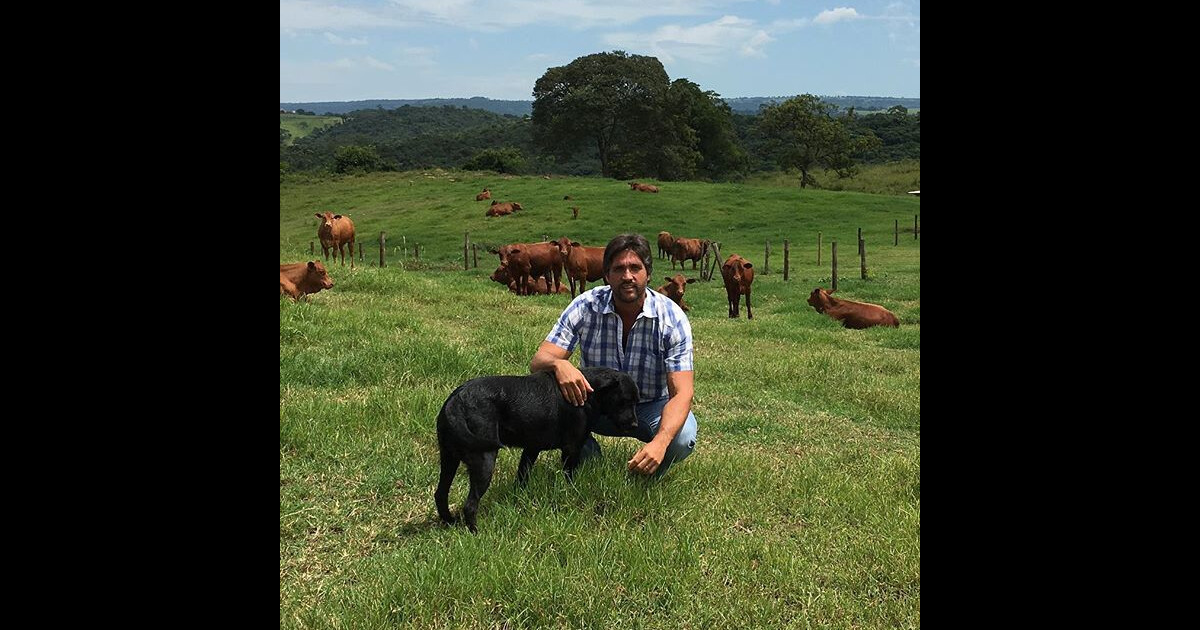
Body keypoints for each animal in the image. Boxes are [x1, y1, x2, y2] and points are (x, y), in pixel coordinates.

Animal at [432, 364, 638, 532]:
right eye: (625, 401)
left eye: (636, 402)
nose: (635, 424)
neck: (589, 393)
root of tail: (456, 401)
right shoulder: (571, 449)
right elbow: (569, 478)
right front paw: (571, 493)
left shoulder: (531, 448)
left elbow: (522, 477)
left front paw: (518, 498)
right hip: (484, 459)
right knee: (470, 505)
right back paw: (476, 532)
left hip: (449, 458)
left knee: (441, 494)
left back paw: (450, 522)